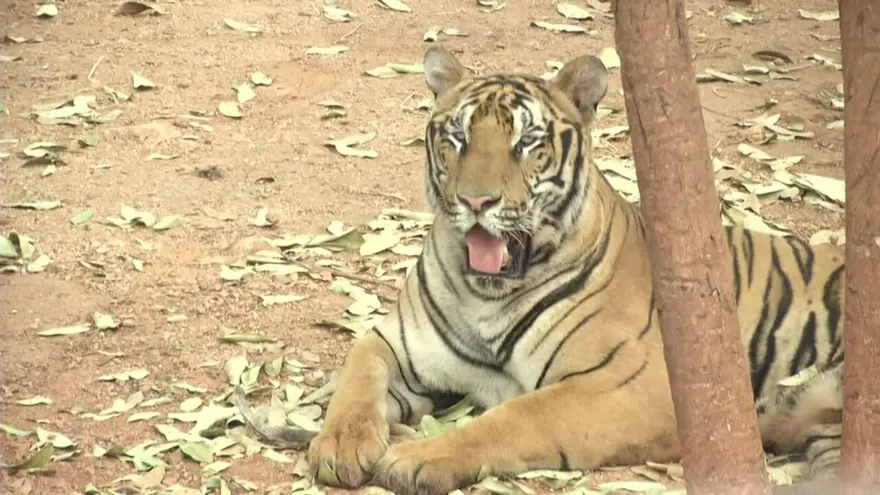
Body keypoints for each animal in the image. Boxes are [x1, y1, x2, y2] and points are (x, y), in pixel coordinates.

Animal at [297, 47, 846, 495]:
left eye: (526, 142)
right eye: (457, 137)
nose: (476, 201)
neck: (488, 293)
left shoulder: (629, 386)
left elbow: (516, 416)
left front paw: (414, 458)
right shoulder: (400, 342)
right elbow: (357, 369)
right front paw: (340, 445)